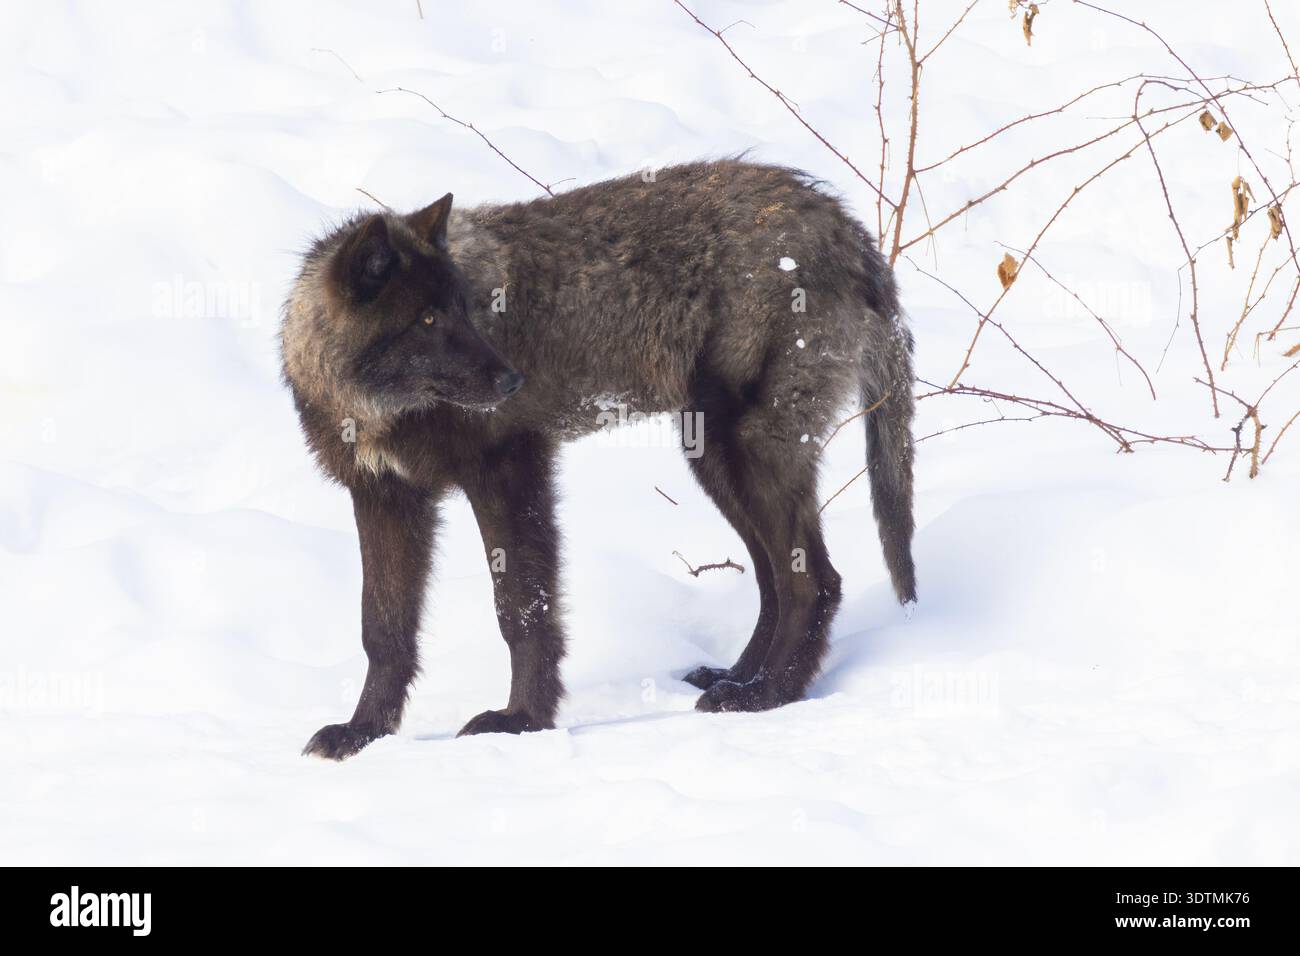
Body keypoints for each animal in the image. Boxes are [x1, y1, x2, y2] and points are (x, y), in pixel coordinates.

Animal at [281, 160, 915, 760]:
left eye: (464, 309)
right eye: (429, 320)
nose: (513, 382)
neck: (378, 406)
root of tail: (844, 225)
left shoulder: (510, 473)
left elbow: (522, 610)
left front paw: (521, 720)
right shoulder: (384, 497)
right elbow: (383, 630)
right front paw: (365, 733)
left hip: (747, 455)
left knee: (816, 583)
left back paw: (766, 695)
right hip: (713, 459)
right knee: (773, 581)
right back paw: (737, 678)